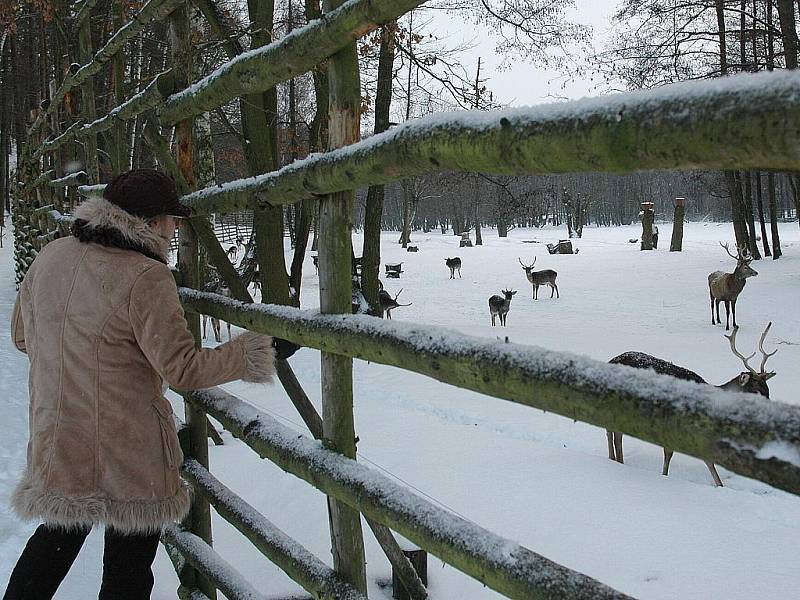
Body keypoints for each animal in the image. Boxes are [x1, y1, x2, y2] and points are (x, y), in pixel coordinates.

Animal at [608, 324, 776, 488]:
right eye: (756, 391)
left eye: (768, 391)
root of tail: (611, 360)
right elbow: (672, 453)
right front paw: (664, 476)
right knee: (615, 433)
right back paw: (617, 461)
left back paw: (614, 459)